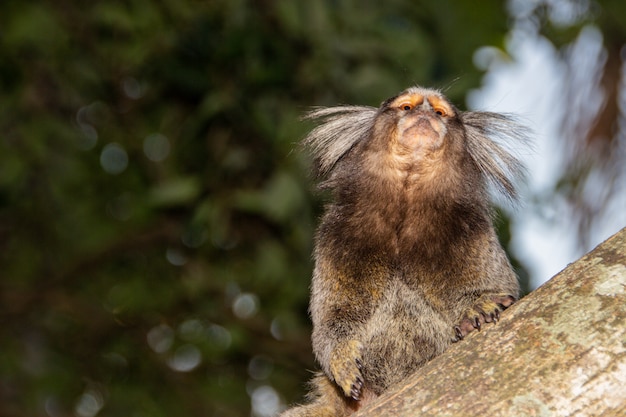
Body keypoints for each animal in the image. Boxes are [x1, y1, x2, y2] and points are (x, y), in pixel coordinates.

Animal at [280, 86, 528, 414]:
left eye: (439, 112)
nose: (423, 114)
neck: (406, 202)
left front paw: (479, 307)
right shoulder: (336, 237)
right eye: (407, 107)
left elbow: (499, 289)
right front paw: (341, 358)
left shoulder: (473, 229)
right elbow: (331, 319)